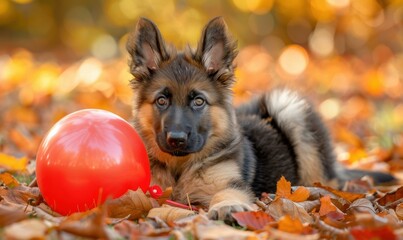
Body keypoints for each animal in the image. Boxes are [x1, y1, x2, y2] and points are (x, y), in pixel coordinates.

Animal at [128, 15, 396, 220]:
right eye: (162, 101)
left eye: (199, 101)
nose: (177, 139)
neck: (180, 166)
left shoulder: (230, 184)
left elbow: (225, 193)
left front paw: (226, 206)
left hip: (291, 112)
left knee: (326, 182)